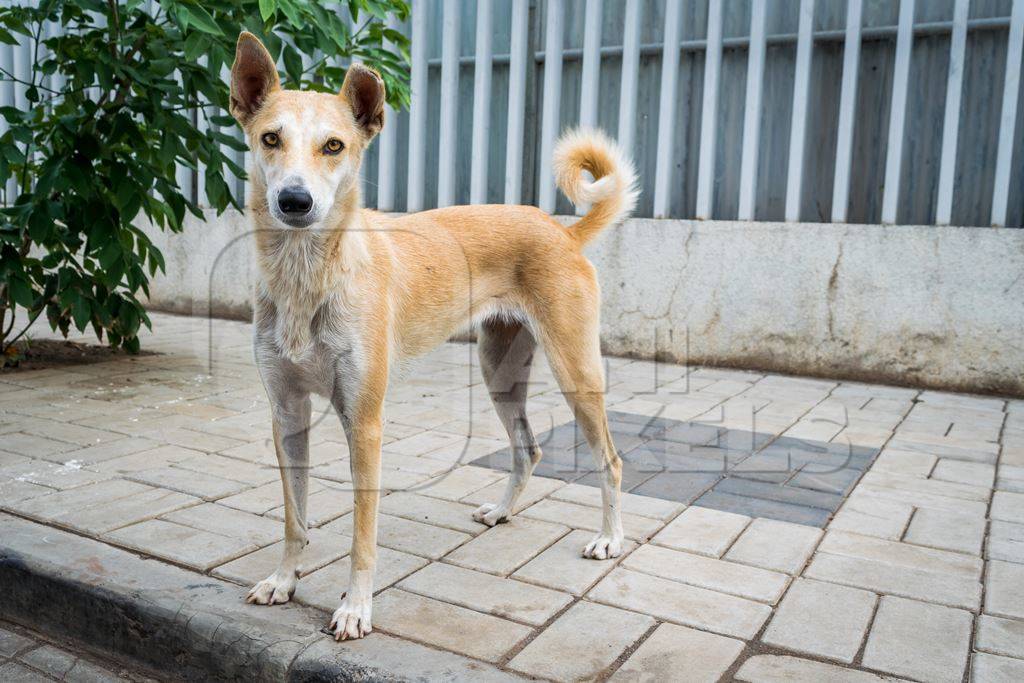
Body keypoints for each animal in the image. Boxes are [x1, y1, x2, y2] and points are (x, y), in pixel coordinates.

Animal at [228, 31, 634, 643]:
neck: (310, 277)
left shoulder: (364, 422)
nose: (295, 202)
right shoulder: (286, 414)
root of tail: (560, 229)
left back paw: (609, 538)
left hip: (577, 373)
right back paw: (502, 511)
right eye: (270, 138)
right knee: (528, 448)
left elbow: (362, 537)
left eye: (334, 146)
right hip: (500, 372)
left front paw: (355, 608)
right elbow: (294, 518)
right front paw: (283, 580)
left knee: (609, 460)